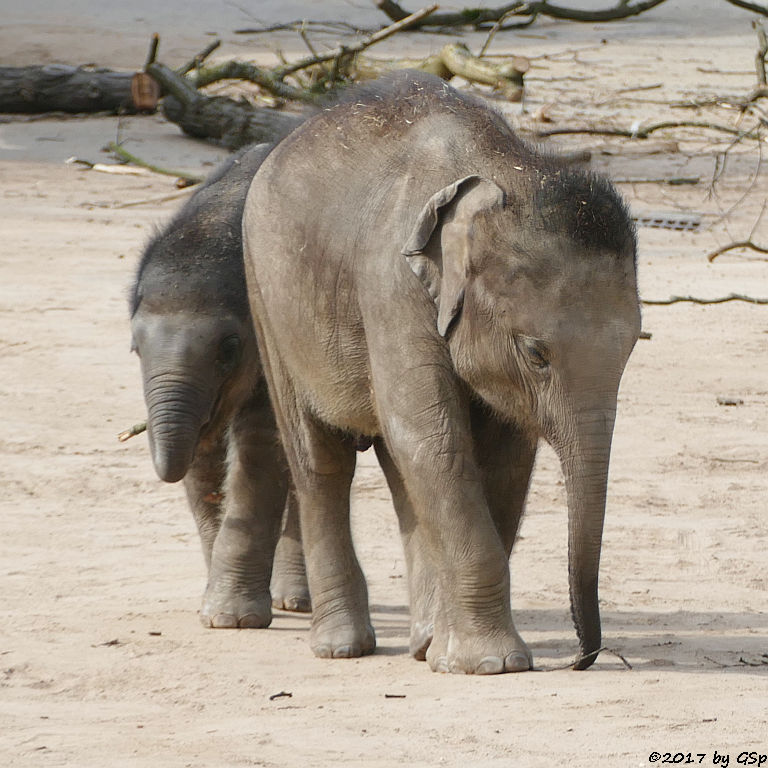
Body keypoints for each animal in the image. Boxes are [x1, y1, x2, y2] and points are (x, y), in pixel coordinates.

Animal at [130, 146, 310, 632]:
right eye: (134, 347)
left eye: (229, 348)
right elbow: (205, 456)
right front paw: (210, 605)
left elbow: (261, 449)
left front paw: (230, 619)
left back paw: (295, 602)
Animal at [244, 72, 640, 672]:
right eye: (536, 354)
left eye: (632, 349)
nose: (583, 658)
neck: (506, 170)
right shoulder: (390, 282)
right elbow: (434, 440)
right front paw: (491, 665)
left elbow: (501, 458)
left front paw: (449, 655)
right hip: (266, 298)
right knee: (320, 461)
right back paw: (342, 648)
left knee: (398, 467)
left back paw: (422, 642)